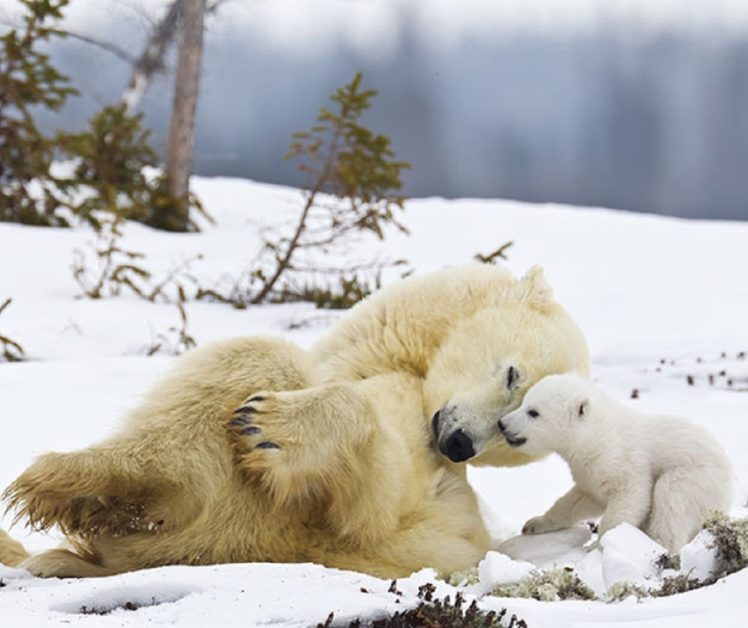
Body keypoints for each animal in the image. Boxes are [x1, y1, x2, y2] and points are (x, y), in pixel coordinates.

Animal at [0, 262, 592, 576]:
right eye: (514, 378)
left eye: (512, 438)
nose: (461, 445)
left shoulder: (414, 507)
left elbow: (377, 496)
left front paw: (274, 428)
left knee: (257, 358)